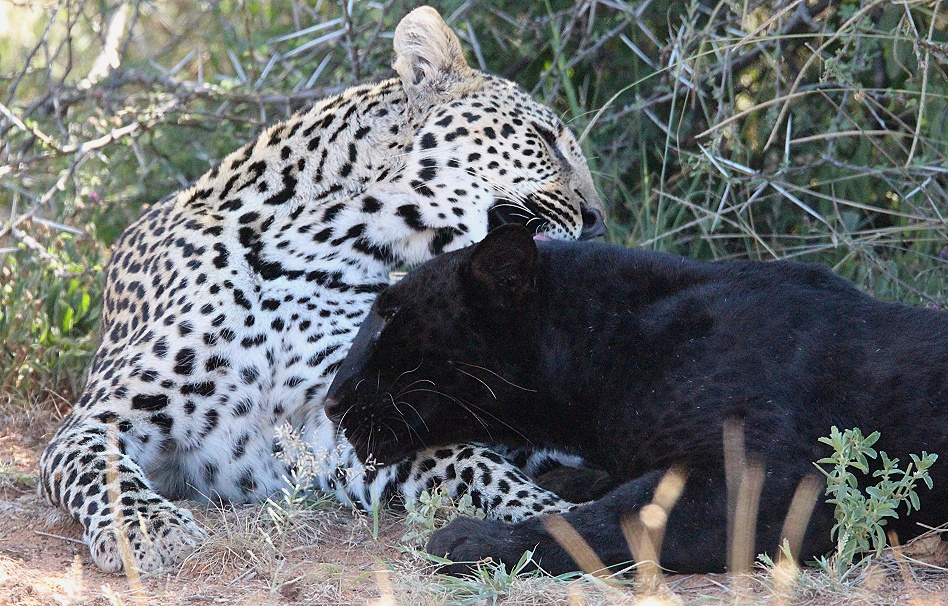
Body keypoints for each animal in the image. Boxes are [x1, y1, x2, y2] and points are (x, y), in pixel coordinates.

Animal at [39, 6, 608, 574]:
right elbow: (105, 469)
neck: (335, 239)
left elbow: (468, 463)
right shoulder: (97, 417)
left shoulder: (342, 415)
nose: (600, 221)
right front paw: (151, 529)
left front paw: (552, 516)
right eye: (546, 139)